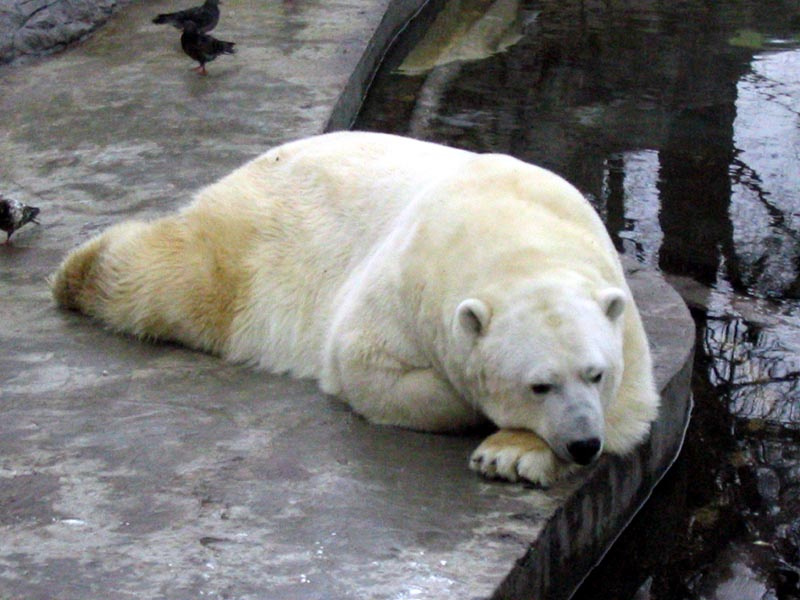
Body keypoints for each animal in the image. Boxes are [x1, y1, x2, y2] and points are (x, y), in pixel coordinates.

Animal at [51, 131, 659, 486]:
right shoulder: (406, 282)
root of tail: (261, 160)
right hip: (258, 242)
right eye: (539, 385)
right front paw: (493, 431)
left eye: (596, 373)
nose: (582, 443)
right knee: (176, 279)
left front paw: (512, 454)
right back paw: (76, 273)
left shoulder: (621, 319)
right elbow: (368, 366)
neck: (517, 235)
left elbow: (631, 411)